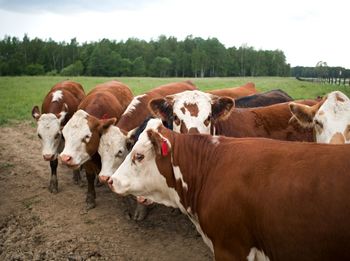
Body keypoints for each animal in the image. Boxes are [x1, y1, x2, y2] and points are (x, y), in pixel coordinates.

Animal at [58, 80, 133, 208]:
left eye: (87, 136)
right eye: (65, 135)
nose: (64, 158)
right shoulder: (87, 157)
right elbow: (89, 176)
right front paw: (90, 198)